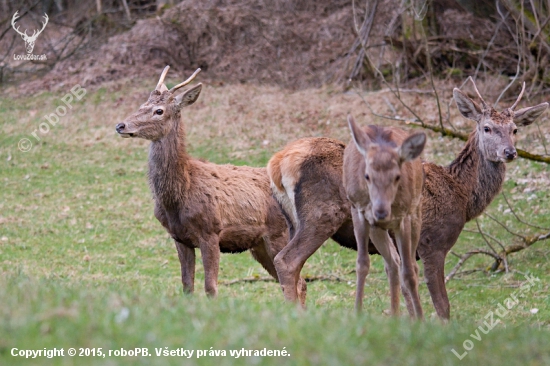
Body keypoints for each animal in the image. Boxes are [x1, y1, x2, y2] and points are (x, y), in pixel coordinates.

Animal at [116, 67, 308, 302]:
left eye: (159, 111)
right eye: (142, 104)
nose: (121, 125)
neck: (179, 194)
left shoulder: (210, 231)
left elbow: (210, 287)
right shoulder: (179, 238)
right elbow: (187, 285)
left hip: (279, 233)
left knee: (298, 281)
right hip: (259, 244)